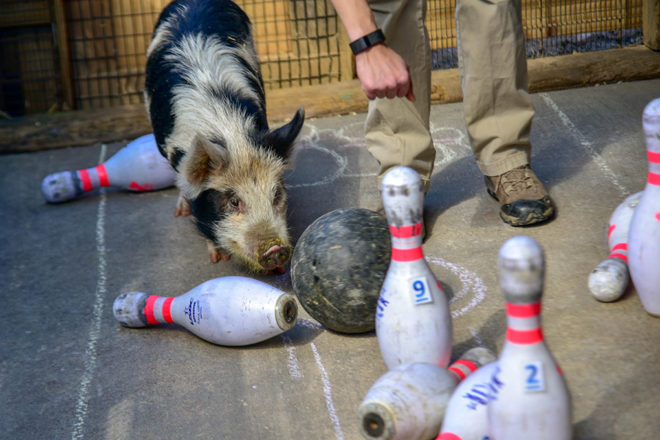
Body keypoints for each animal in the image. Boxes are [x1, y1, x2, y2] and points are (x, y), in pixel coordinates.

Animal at [144, 0, 304, 276]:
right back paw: (181, 211)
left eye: (276, 194)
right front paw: (217, 258)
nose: (275, 249)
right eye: (234, 202)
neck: (231, 134)